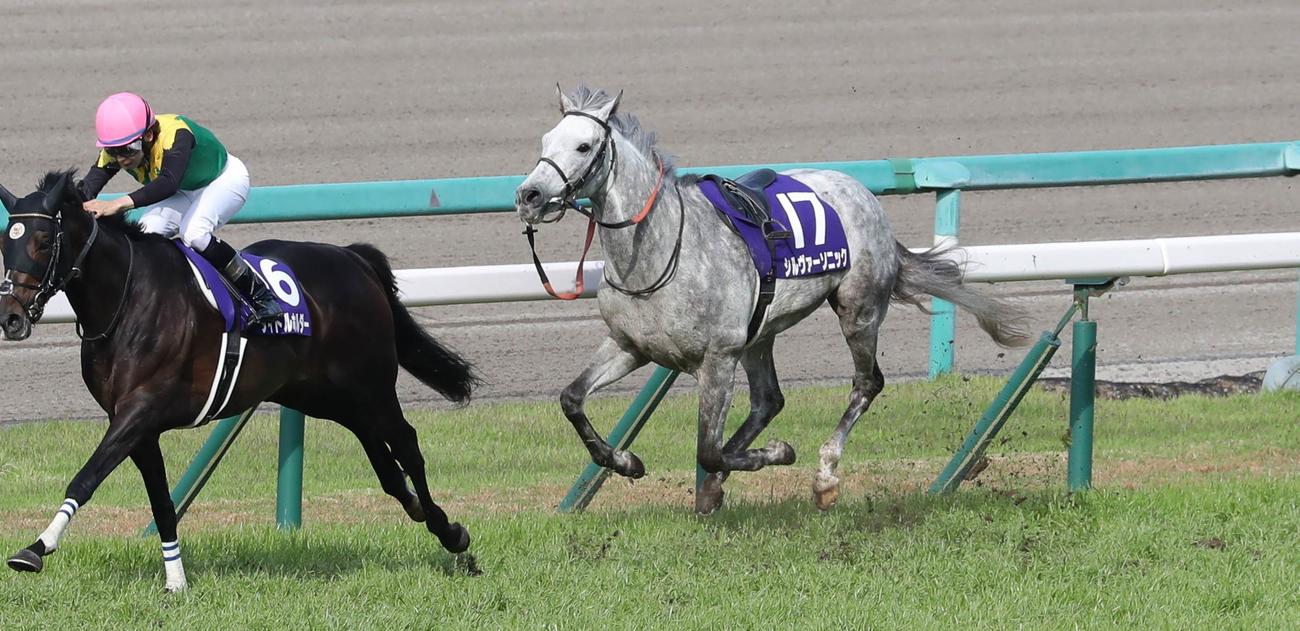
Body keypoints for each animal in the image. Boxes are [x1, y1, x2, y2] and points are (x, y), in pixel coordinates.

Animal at [0, 170, 480, 591]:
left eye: (43, 241)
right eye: (7, 242)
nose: (11, 317)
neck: (127, 297)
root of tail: (352, 258)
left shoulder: (141, 409)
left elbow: (86, 478)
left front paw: (36, 547)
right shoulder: (136, 424)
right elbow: (162, 502)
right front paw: (176, 582)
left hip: (372, 385)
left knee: (407, 444)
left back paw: (453, 536)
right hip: (325, 395)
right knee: (384, 463)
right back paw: (427, 515)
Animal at [515, 85, 1029, 514]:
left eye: (584, 146)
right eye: (546, 139)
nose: (529, 195)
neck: (657, 253)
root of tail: (864, 195)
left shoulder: (717, 358)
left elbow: (708, 449)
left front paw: (778, 453)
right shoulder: (630, 345)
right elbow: (572, 399)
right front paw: (626, 461)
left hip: (858, 311)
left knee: (866, 384)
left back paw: (824, 475)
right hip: (760, 335)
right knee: (768, 400)